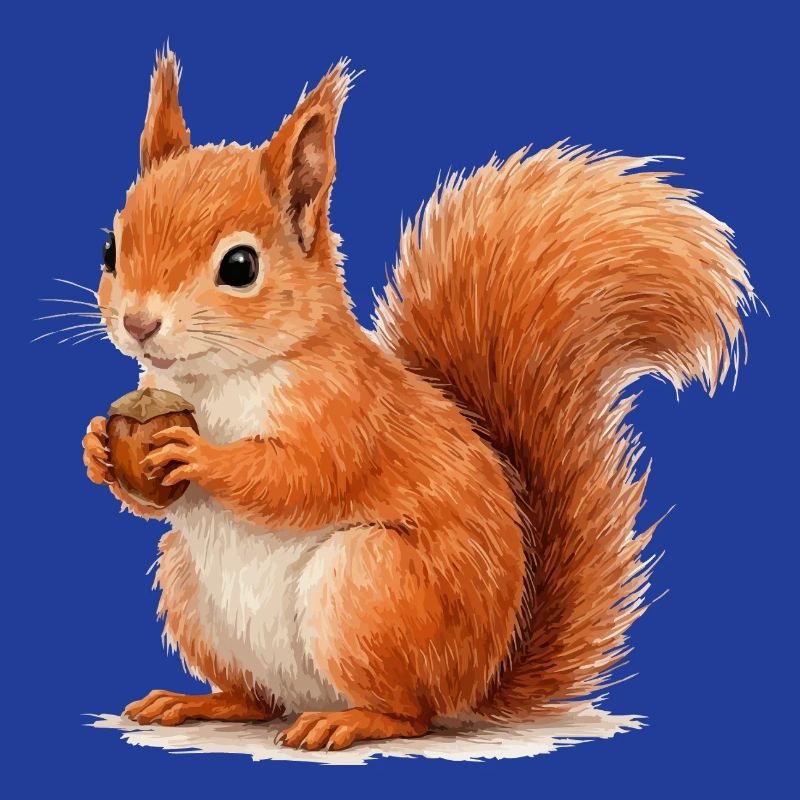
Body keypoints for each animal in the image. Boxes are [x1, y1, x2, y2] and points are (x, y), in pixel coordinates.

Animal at [81, 49, 754, 751]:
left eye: (240, 266)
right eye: (110, 248)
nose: (138, 323)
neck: (216, 379)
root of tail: (477, 686)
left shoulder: (347, 411)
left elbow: (300, 478)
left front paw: (199, 455)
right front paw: (97, 448)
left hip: (370, 587)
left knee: (411, 714)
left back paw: (347, 721)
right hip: (189, 588)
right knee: (257, 699)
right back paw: (199, 701)